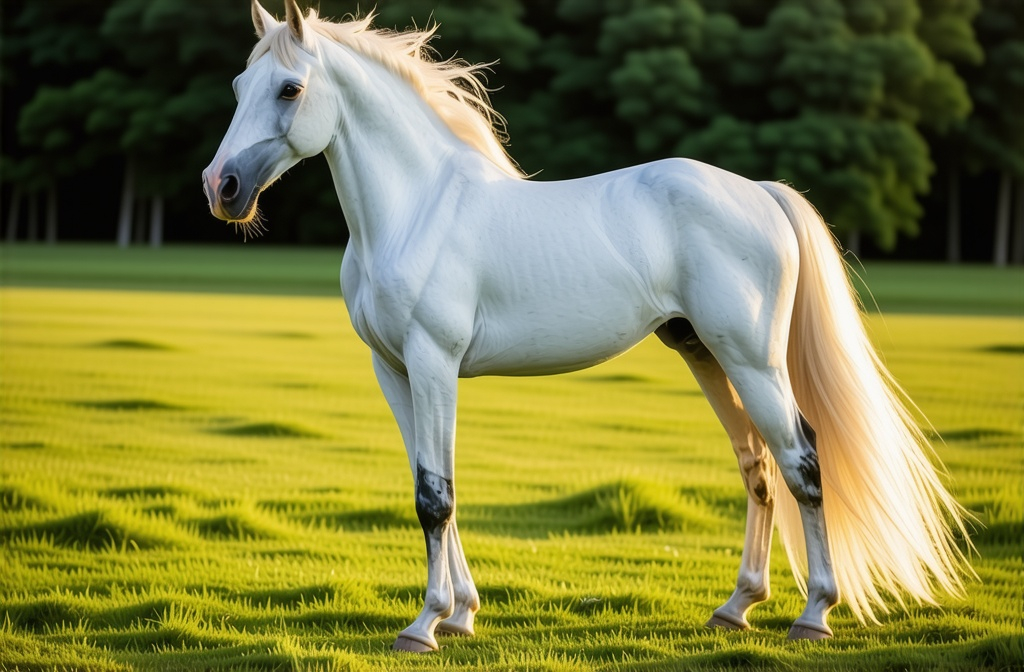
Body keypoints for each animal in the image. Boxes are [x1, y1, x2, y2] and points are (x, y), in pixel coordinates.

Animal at [201, 0, 974, 651]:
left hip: (753, 361)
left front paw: (425, 625)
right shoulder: (394, 371)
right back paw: (736, 608)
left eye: (290, 89)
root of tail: (760, 192)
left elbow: (434, 498)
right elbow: (434, 485)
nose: (221, 189)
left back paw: (813, 615)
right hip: (707, 355)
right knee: (756, 464)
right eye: (239, 85)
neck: (417, 210)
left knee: (801, 461)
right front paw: (462, 614)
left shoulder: (433, 363)